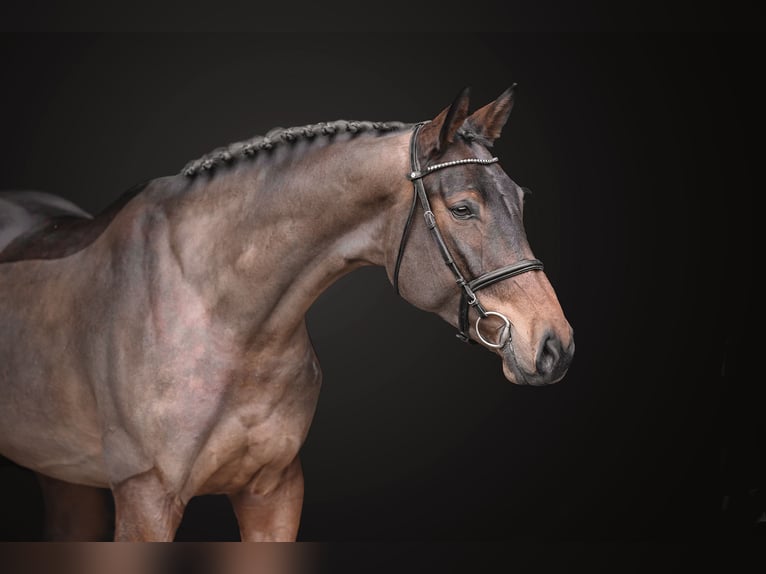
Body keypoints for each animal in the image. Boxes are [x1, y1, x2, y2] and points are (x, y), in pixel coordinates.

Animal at [0, 86, 574, 541]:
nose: (555, 345)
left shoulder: (274, 492)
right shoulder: (146, 499)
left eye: (520, 199)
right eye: (462, 208)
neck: (225, 318)